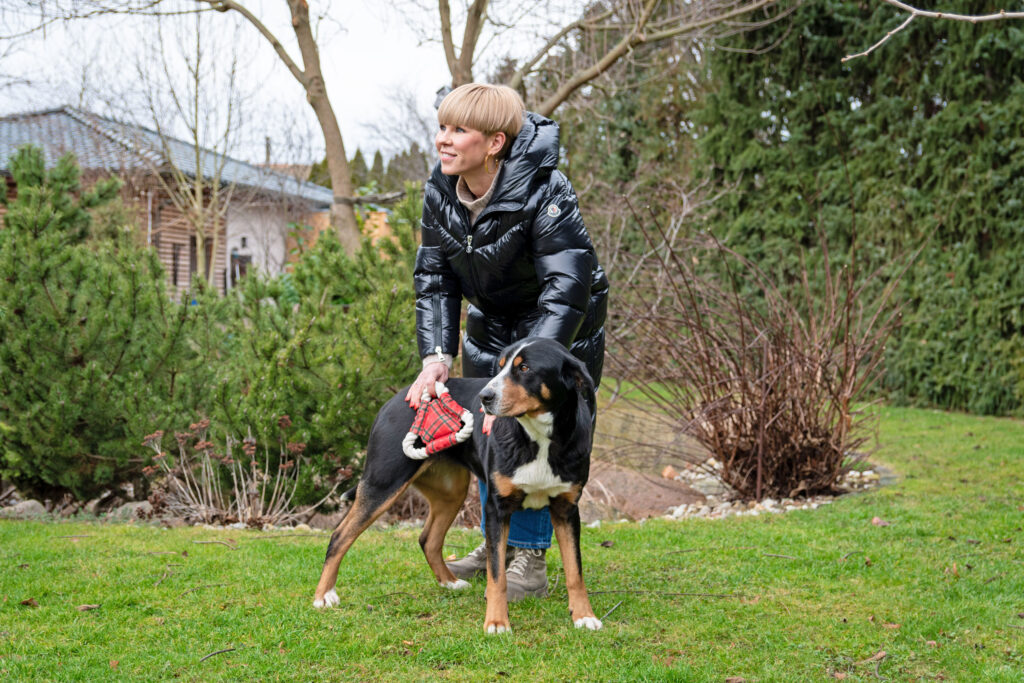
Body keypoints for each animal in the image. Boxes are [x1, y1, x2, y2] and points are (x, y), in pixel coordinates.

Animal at [311, 339, 598, 634]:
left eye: (525, 368)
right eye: (500, 366)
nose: (485, 397)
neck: (540, 439)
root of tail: (394, 400)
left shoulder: (566, 509)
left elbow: (575, 571)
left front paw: (584, 615)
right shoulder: (496, 508)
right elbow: (497, 575)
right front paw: (497, 621)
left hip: (451, 492)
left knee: (428, 540)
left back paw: (450, 582)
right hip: (384, 482)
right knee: (340, 535)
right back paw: (323, 596)